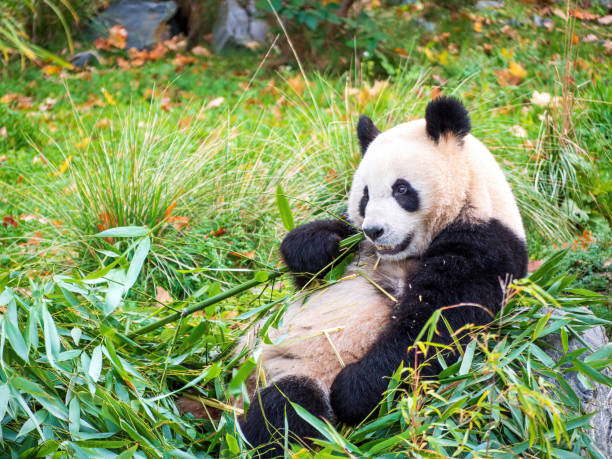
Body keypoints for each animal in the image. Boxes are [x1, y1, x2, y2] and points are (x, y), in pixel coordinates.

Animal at [239, 97, 524, 456]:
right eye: (364, 195)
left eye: (401, 189)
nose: (374, 230)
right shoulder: (356, 242)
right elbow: (311, 272)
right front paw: (321, 245)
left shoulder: (487, 247)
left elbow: (433, 328)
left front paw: (352, 391)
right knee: (279, 415)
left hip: (307, 370)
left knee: (288, 410)